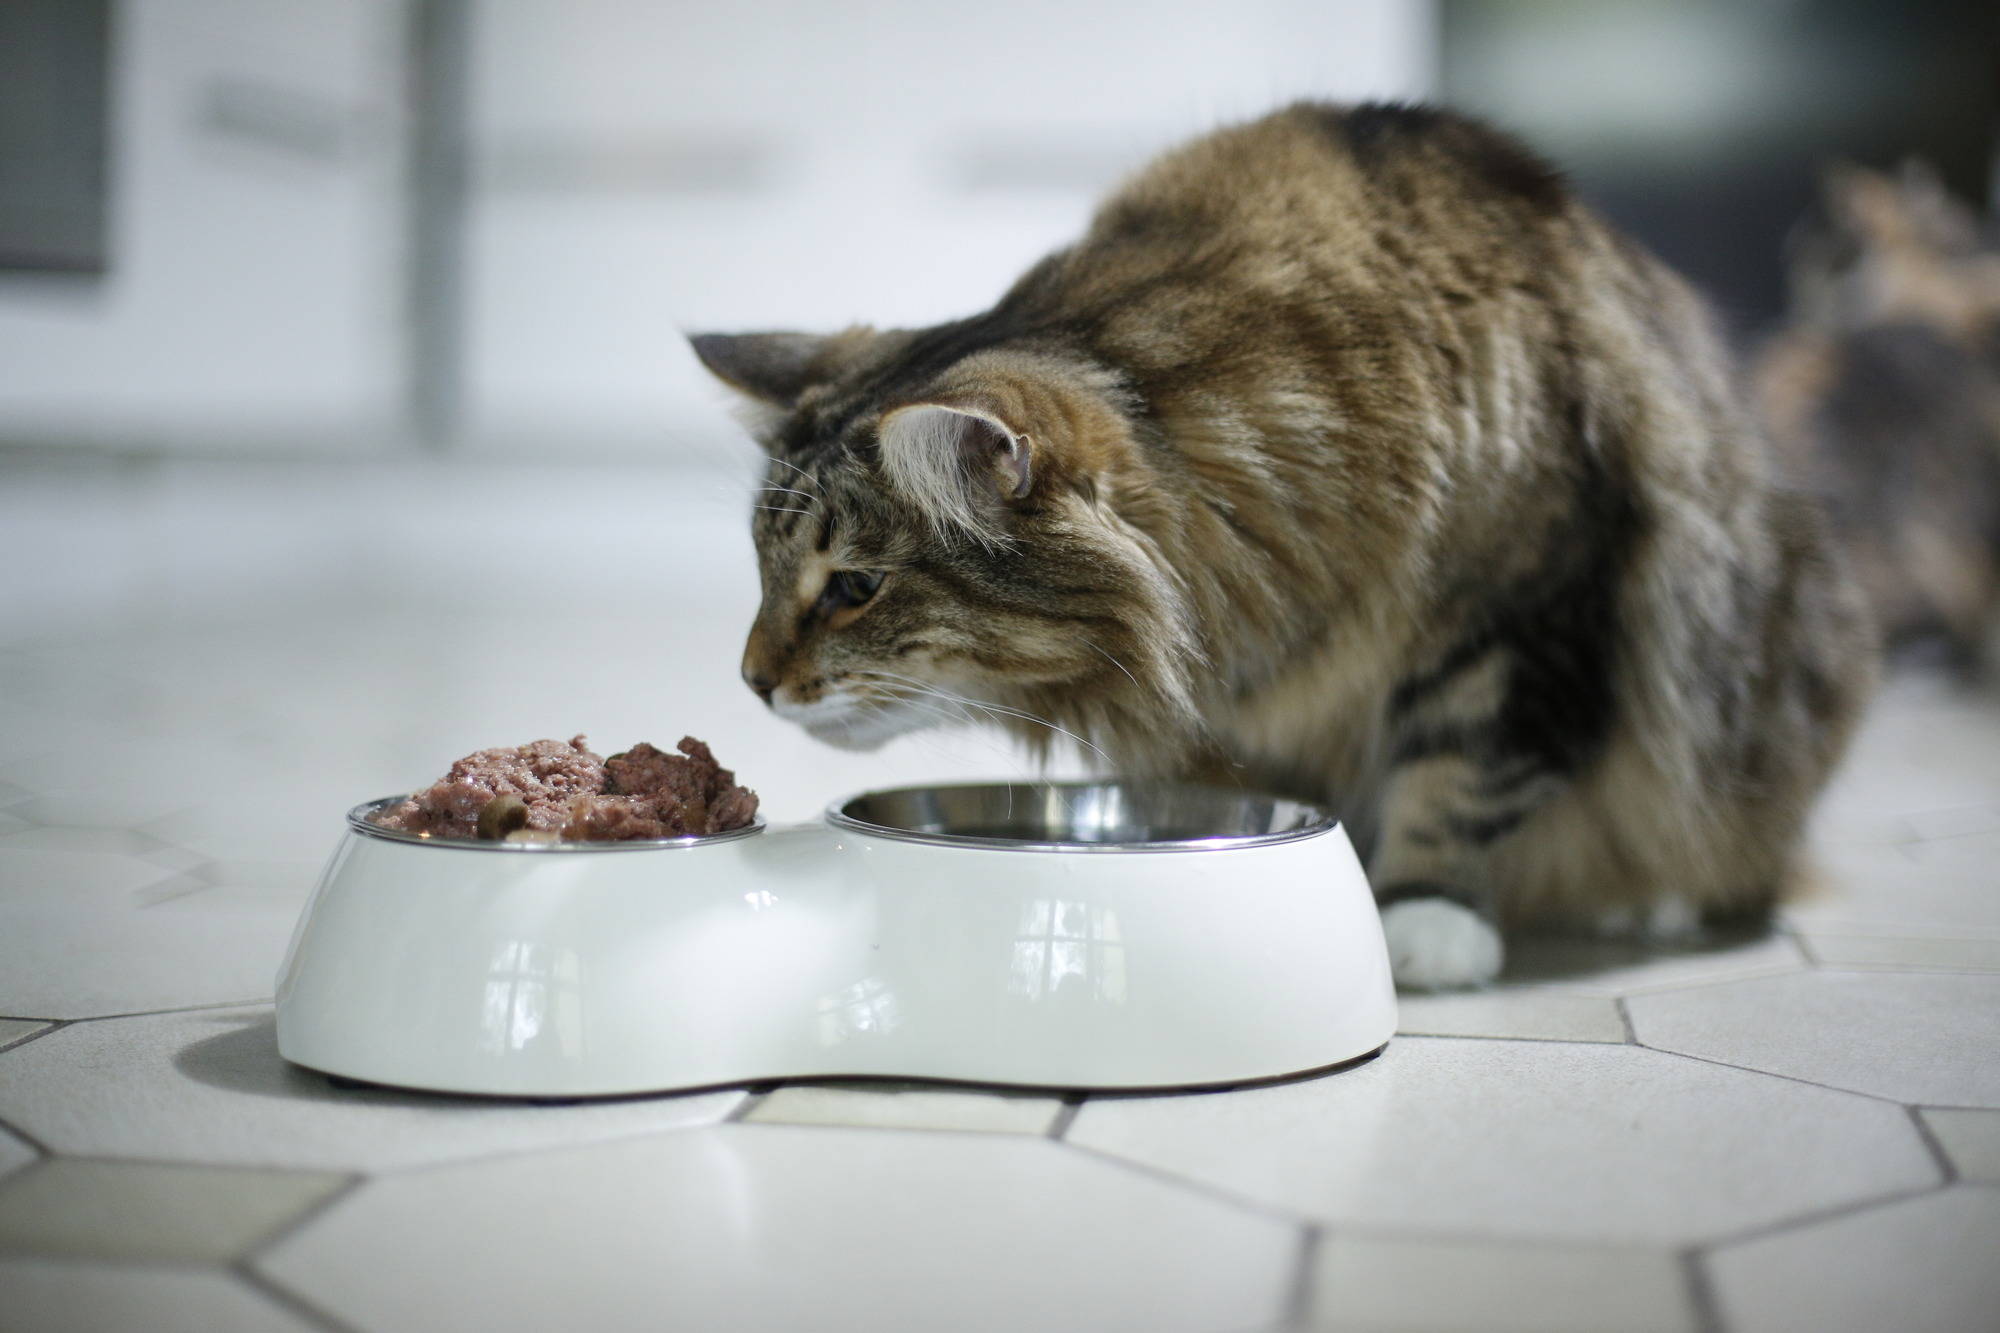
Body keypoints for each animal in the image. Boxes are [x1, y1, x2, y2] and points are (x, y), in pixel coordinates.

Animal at [688, 104, 1872, 984]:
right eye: (762, 573)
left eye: (854, 586)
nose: (751, 681)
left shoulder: (1532, 604)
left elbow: (1465, 768)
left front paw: (1425, 917)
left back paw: (1654, 898)